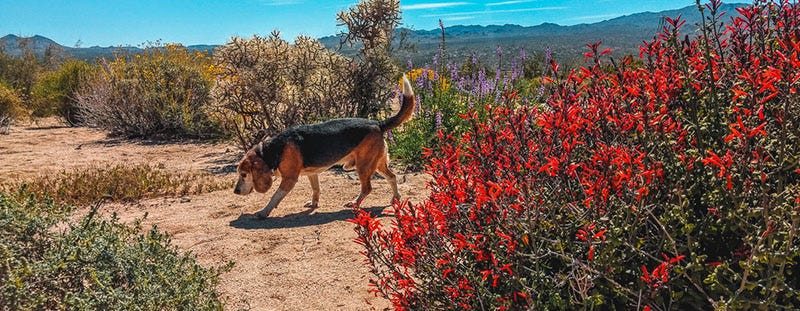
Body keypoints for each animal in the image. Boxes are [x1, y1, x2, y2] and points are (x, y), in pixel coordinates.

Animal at [231, 75, 416, 219]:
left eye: (244, 174)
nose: (236, 192)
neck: (272, 149)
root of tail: (377, 123)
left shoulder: (289, 179)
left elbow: (275, 197)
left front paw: (264, 212)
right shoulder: (311, 173)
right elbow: (315, 189)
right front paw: (314, 204)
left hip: (363, 166)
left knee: (367, 188)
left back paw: (355, 202)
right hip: (377, 163)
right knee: (392, 177)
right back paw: (395, 198)